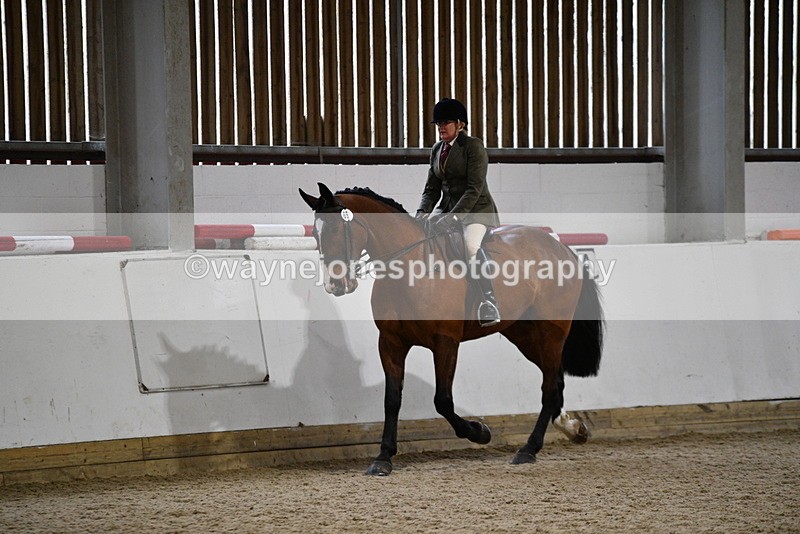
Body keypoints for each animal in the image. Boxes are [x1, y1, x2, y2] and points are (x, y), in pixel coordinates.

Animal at [299, 183, 603, 475]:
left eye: (337, 228)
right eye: (316, 234)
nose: (335, 286)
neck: (411, 268)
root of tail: (562, 250)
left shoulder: (445, 341)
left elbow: (443, 401)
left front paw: (480, 432)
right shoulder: (390, 342)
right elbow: (392, 400)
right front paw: (383, 457)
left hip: (551, 333)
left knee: (549, 386)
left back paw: (528, 449)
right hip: (524, 335)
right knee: (556, 380)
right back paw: (573, 429)